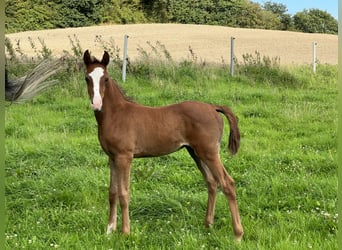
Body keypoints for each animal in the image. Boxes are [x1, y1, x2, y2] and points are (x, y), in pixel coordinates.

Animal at [83, 49, 243, 240]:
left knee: (227, 183)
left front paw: (125, 232)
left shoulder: (124, 157)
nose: (96, 104)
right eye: (87, 78)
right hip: (196, 152)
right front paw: (109, 230)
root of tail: (213, 107)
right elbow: (112, 192)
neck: (116, 115)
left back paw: (238, 235)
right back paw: (208, 224)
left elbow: (124, 193)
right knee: (212, 182)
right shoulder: (112, 158)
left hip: (210, 152)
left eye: (106, 78)